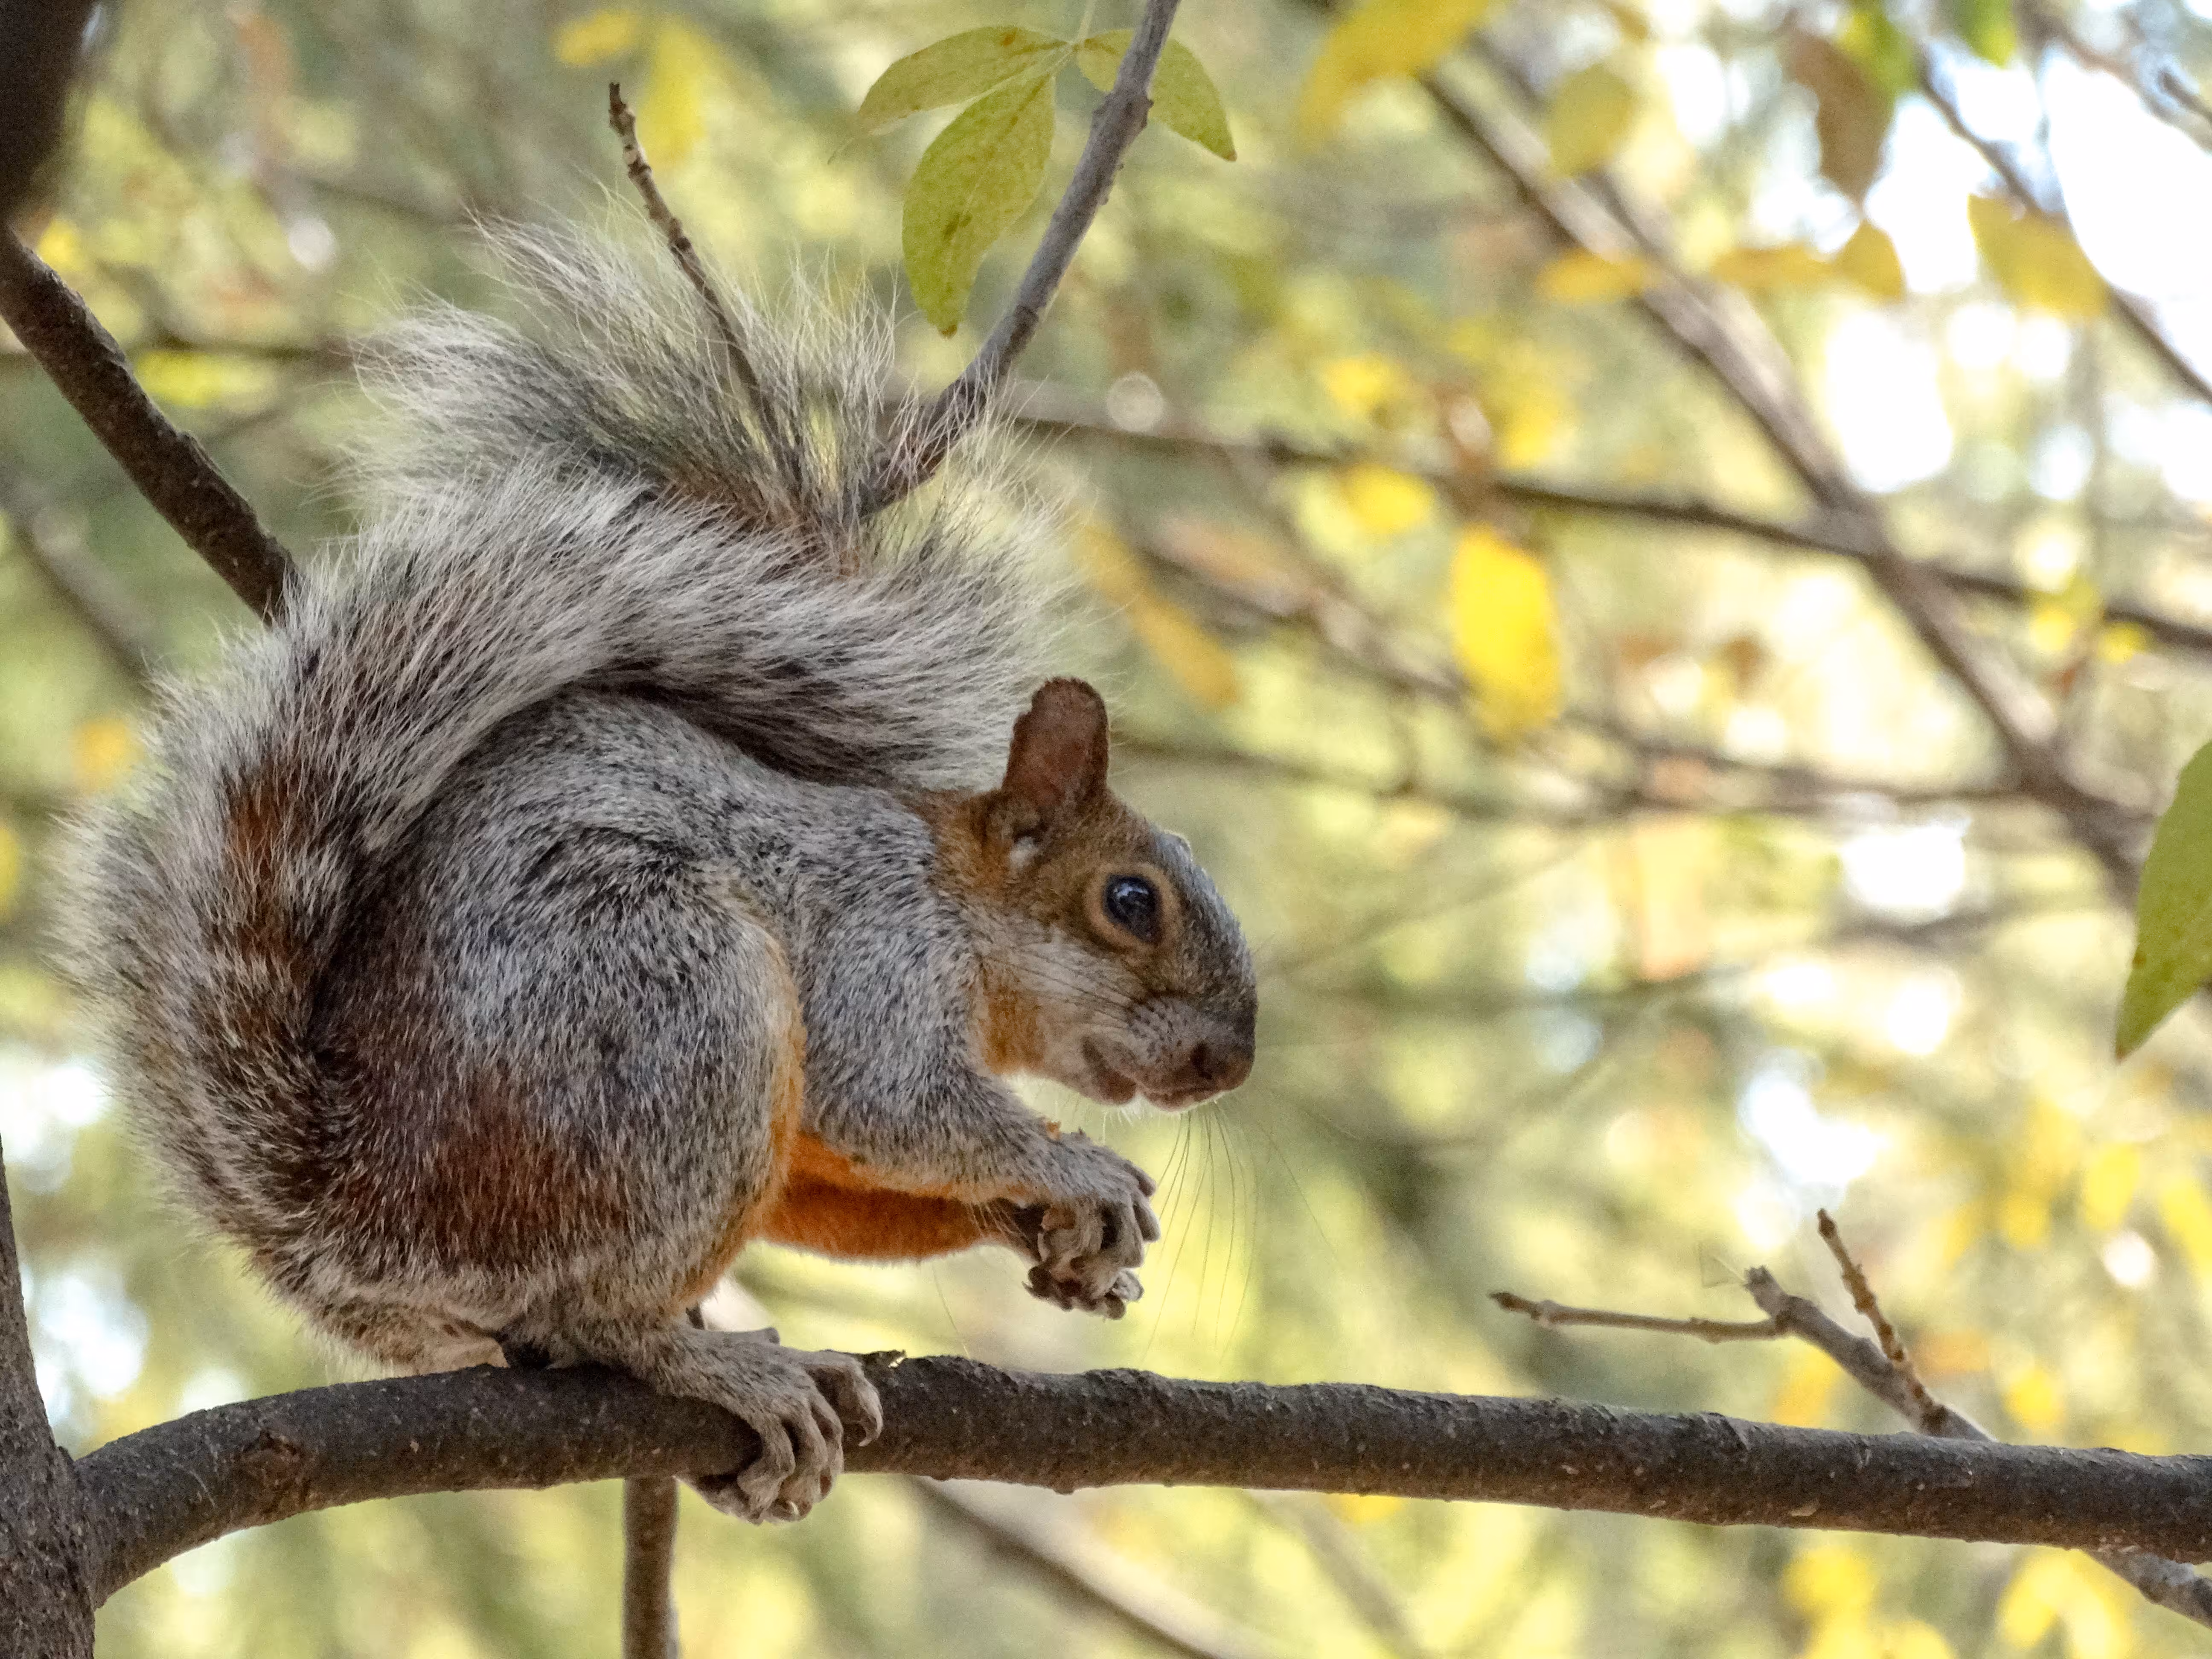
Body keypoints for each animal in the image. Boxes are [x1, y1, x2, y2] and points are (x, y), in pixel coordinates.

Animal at [62, 227, 1258, 1525]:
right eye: (1130, 902)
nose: (1229, 1063)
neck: (966, 912)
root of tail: (371, 1208)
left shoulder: (806, 1139)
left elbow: (849, 1177)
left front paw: (1052, 1229)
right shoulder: (876, 944)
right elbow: (894, 1100)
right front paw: (1070, 1165)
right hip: (673, 1004)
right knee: (587, 1310)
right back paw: (727, 1367)